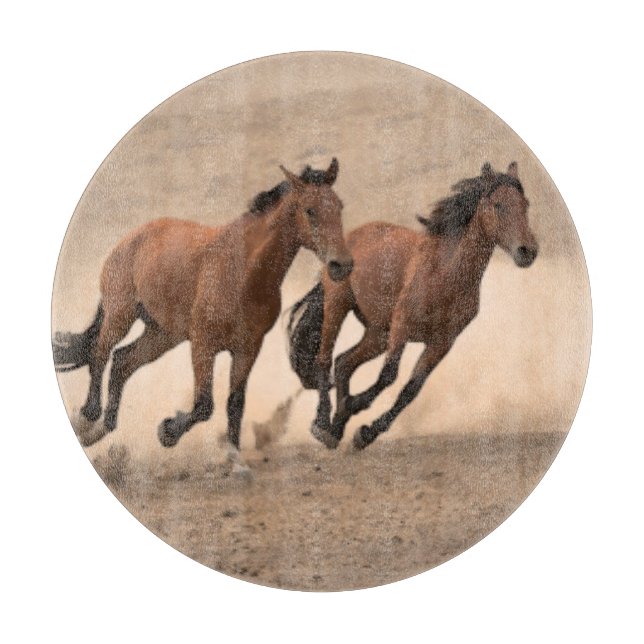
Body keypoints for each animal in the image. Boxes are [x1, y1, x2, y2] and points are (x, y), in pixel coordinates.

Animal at [53, 159, 353, 466]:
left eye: (339, 206)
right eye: (310, 210)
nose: (342, 265)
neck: (243, 272)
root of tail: (129, 239)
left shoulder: (247, 348)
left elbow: (235, 404)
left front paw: (234, 457)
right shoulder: (203, 343)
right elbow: (204, 405)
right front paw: (167, 431)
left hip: (163, 334)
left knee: (123, 361)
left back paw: (103, 428)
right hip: (121, 314)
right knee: (99, 353)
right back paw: (88, 419)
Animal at [288, 162, 538, 450]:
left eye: (525, 204)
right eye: (498, 205)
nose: (528, 251)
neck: (444, 274)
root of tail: (347, 239)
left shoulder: (442, 343)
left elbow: (410, 390)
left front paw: (365, 432)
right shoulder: (402, 326)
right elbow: (389, 375)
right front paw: (355, 407)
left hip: (378, 333)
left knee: (343, 363)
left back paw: (336, 428)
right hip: (338, 306)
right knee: (325, 359)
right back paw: (322, 425)